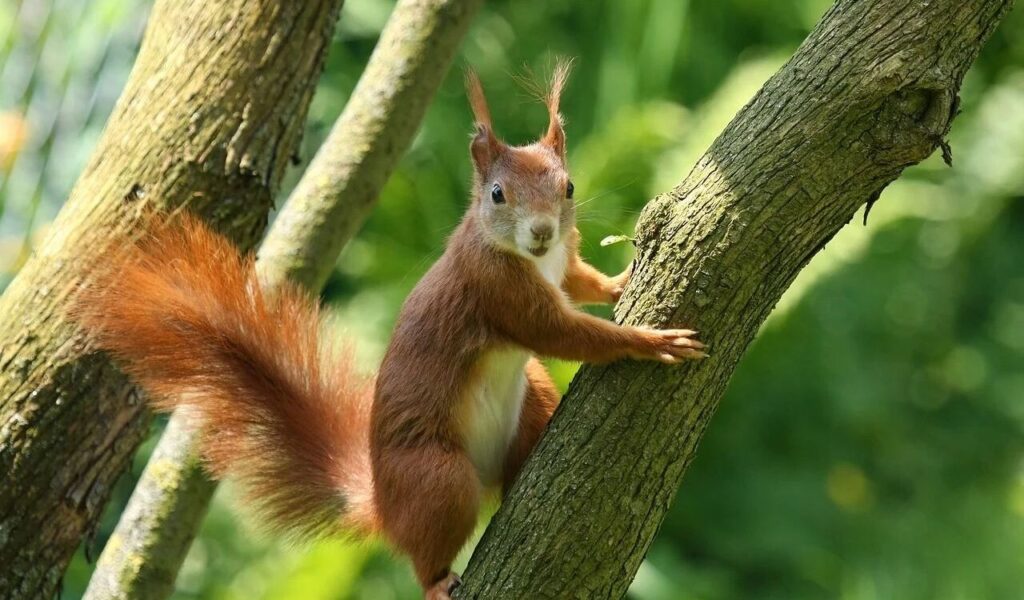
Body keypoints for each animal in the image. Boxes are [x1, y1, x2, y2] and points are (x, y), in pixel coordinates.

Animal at [72, 62, 706, 600]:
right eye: (497, 194)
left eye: (569, 187)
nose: (543, 231)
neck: (530, 258)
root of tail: (383, 503)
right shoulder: (497, 292)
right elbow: (562, 335)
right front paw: (650, 341)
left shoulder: (562, 266)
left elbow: (579, 283)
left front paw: (620, 283)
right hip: (436, 477)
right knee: (429, 543)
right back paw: (437, 581)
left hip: (530, 398)